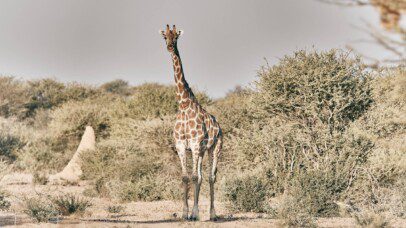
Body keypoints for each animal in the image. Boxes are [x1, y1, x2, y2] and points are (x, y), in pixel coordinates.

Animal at [159, 25, 222, 221]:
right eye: (165, 37)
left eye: (176, 37)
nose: (170, 47)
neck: (184, 104)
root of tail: (220, 127)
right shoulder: (181, 145)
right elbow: (186, 177)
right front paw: (185, 213)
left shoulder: (194, 144)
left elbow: (194, 177)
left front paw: (194, 214)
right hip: (201, 152)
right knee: (201, 176)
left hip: (214, 148)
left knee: (211, 177)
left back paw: (213, 214)